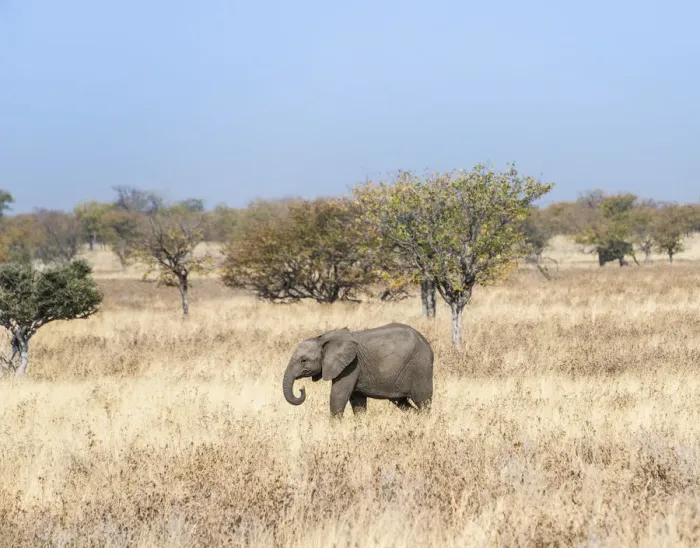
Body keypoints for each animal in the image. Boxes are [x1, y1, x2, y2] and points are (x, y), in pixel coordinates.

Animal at [282, 322, 434, 417]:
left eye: (303, 361)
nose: (301, 389)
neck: (322, 339)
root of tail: (426, 342)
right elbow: (357, 401)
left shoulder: (351, 366)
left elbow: (338, 395)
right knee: (403, 403)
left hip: (420, 368)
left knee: (423, 402)